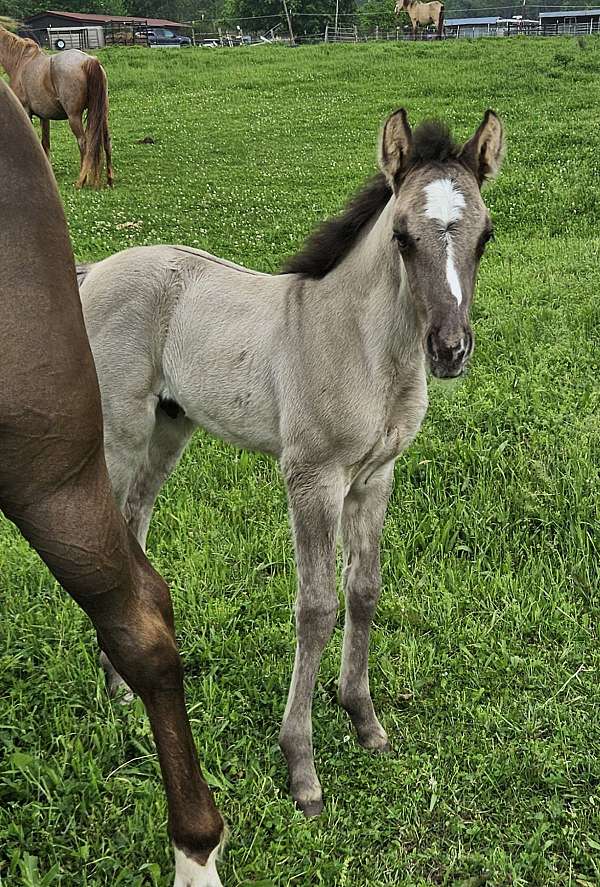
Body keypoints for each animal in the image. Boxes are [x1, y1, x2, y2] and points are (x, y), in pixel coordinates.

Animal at [0, 26, 113, 188]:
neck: (20, 61)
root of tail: (89, 60)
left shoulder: (26, 112)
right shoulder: (44, 117)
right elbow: (45, 144)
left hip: (74, 117)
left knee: (83, 142)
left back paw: (81, 180)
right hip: (102, 114)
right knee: (106, 141)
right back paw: (109, 179)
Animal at [77, 107, 505, 817]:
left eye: (485, 236)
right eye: (402, 236)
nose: (449, 350)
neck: (362, 347)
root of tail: (97, 268)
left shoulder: (374, 478)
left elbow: (363, 591)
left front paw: (364, 720)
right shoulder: (312, 478)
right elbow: (316, 608)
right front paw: (301, 768)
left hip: (169, 428)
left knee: (134, 524)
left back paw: (120, 680)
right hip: (121, 429)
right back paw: (113, 682)